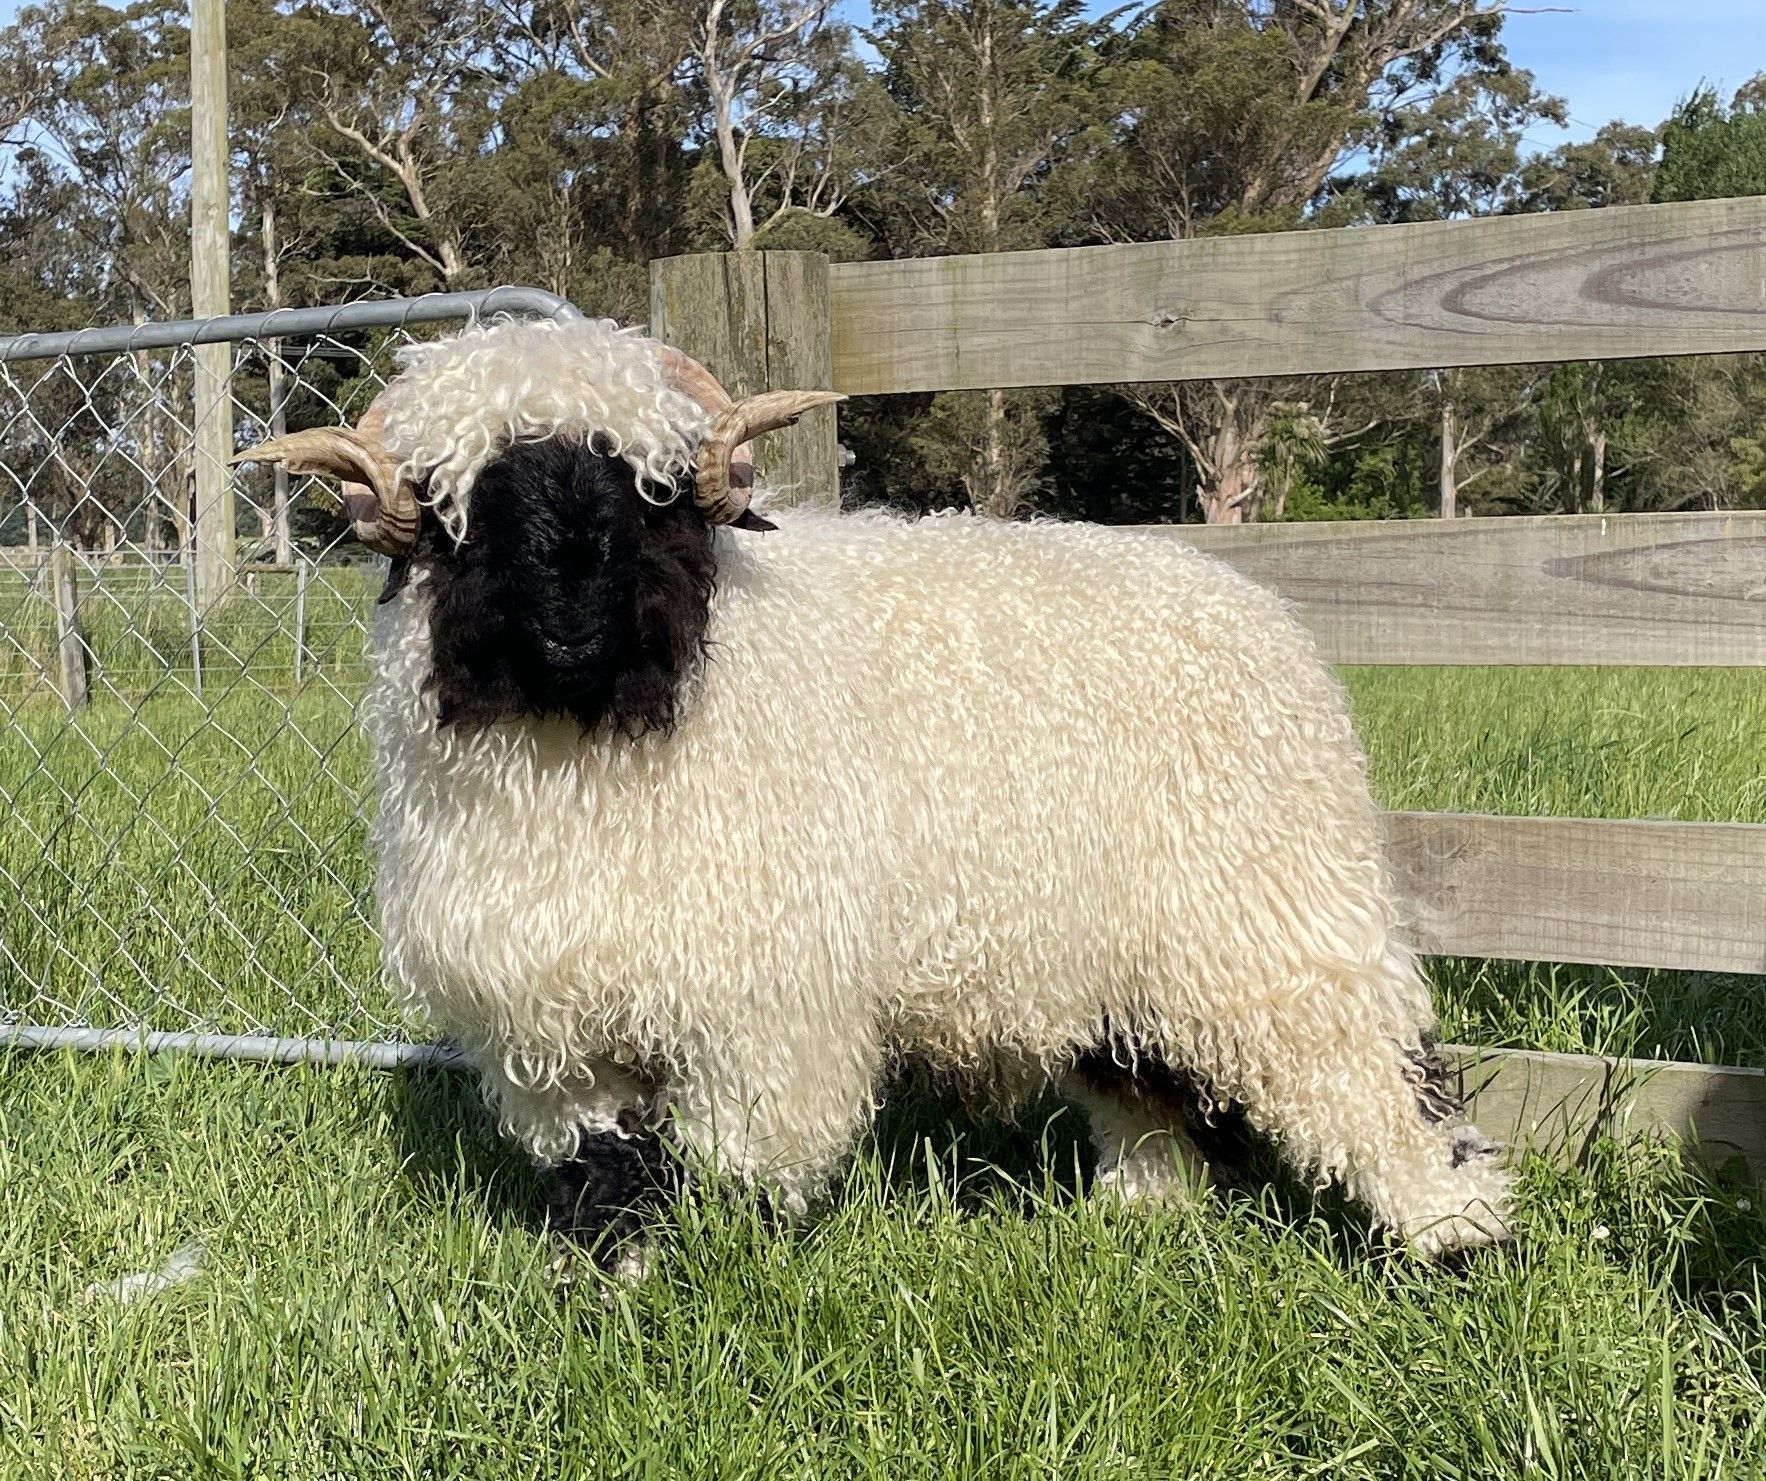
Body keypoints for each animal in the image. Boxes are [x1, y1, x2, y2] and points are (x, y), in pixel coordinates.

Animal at [231, 312, 1504, 1270]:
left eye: (645, 491)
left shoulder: (758, 999)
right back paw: (1138, 1217)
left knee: (1379, 1078)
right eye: (459, 503)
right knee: (1147, 1088)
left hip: (1270, 919)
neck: (586, 742)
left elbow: (734, 1162)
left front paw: (712, 1274)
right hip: (1115, 945)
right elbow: (603, 1164)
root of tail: (1262, 611)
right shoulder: (547, 1014)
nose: (567, 626)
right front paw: (608, 1281)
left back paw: (1452, 1238)